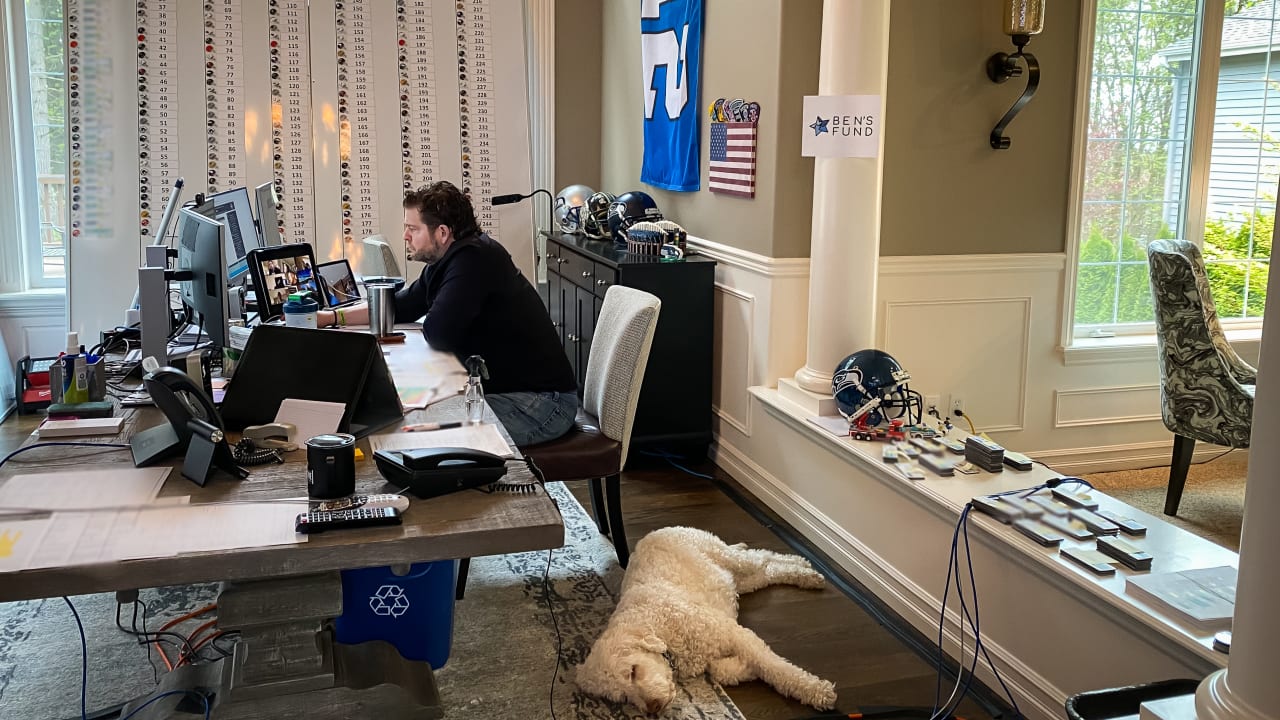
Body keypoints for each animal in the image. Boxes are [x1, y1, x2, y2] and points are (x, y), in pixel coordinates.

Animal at [575, 526, 837, 714]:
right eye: (623, 697)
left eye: (632, 671)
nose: (652, 709)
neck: (659, 625)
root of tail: (657, 531)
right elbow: (721, 671)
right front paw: (745, 669)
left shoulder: (733, 633)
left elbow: (774, 667)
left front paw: (815, 690)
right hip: (738, 580)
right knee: (768, 571)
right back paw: (805, 575)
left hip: (730, 558)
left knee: (762, 556)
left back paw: (804, 566)